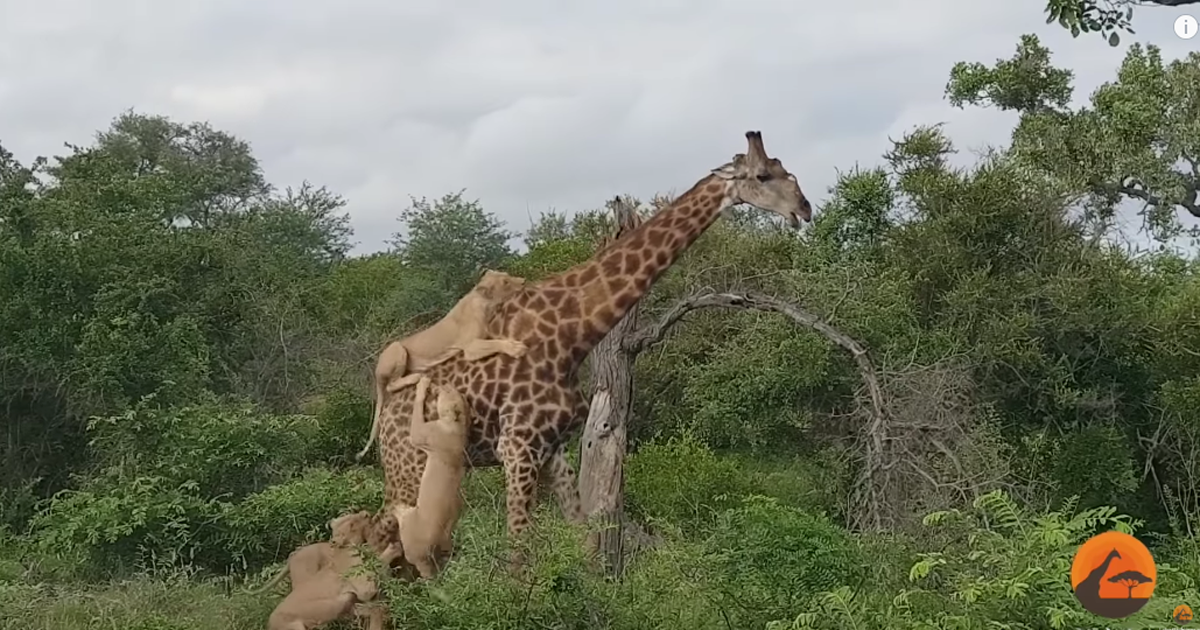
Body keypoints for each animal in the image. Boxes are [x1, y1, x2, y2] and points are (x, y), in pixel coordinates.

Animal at [375, 131, 812, 566]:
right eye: (762, 174)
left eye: (784, 168)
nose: (804, 209)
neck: (571, 336)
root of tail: (385, 414)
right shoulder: (517, 447)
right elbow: (518, 553)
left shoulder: (552, 451)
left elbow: (584, 542)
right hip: (410, 466)